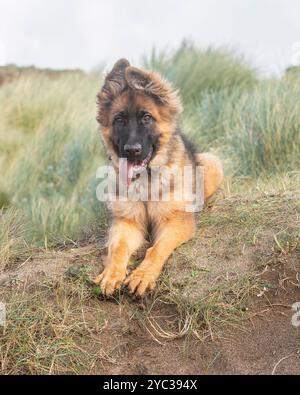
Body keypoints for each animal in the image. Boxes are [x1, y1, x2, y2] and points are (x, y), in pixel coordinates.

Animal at [95, 59, 224, 296]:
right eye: (119, 120)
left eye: (147, 118)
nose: (132, 150)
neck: (145, 183)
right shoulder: (127, 222)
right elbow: (118, 249)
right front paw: (112, 274)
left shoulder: (175, 222)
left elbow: (156, 248)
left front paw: (142, 275)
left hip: (212, 164)